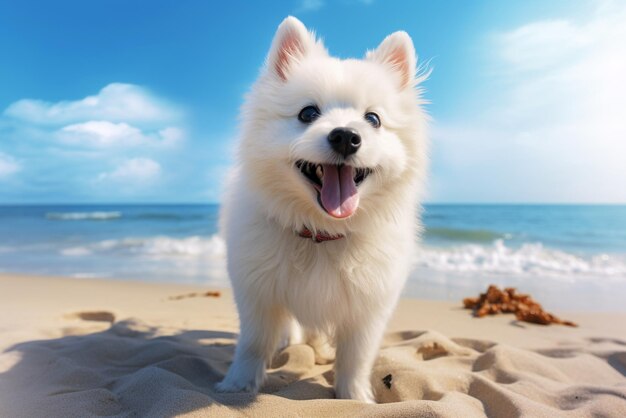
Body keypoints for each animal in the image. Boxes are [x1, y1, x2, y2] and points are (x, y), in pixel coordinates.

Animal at [216, 17, 428, 404]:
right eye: (307, 113)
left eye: (373, 119)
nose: (346, 136)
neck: (321, 232)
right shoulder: (257, 293)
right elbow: (253, 343)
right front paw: (238, 386)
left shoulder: (367, 309)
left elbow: (356, 357)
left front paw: (355, 398)